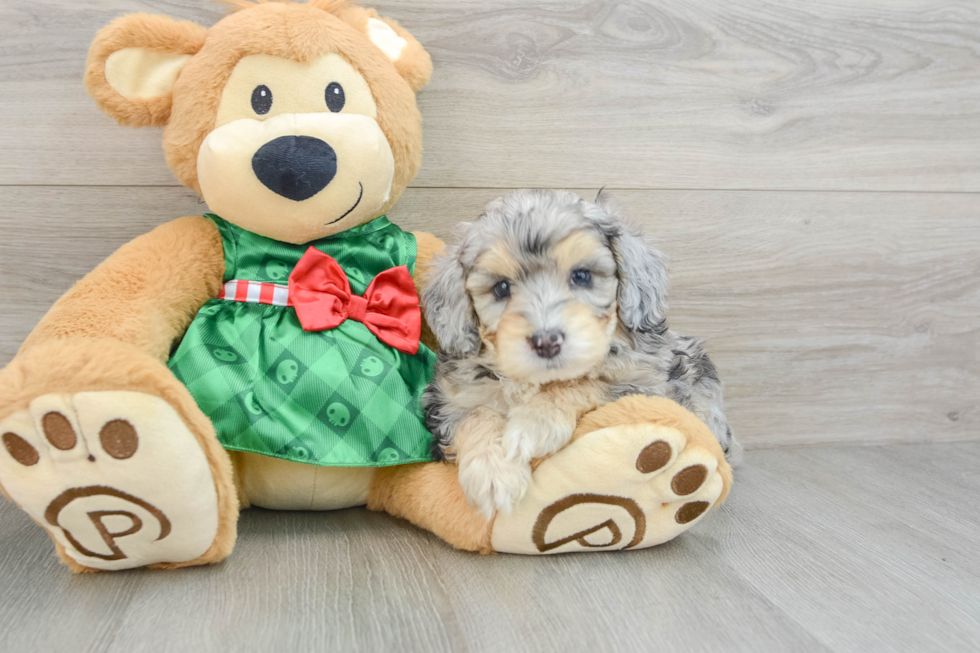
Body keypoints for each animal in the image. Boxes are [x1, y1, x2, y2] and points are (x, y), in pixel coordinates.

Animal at [422, 190, 736, 520]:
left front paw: (534, 423)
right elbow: (476, 414)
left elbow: (583, 383)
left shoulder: (647, 384)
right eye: (501, 288)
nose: (546, 342)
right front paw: (493, 474)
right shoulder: (449, 399)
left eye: (582, 276)